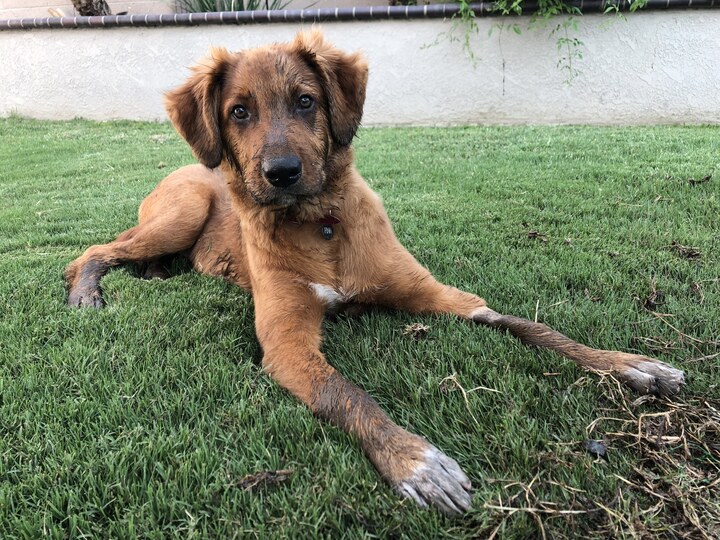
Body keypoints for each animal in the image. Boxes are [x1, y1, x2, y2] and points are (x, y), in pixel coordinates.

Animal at [67, 29, 688, 516]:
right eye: (238, 112)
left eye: (306, 102)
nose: (281, 172)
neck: (320, 224)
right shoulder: (287, 344)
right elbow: (348, 396)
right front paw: (416, 462)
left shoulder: (440, 293)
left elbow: (531, 327)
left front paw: (628, 365)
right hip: (184, 208)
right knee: (93, 249)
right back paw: (86, 293)